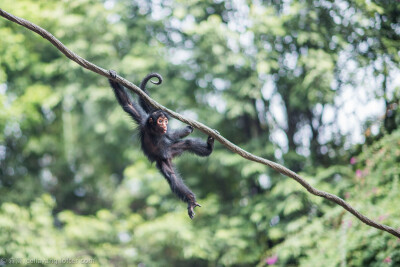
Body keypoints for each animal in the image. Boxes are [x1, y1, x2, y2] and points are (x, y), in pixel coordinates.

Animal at [108, 70, 214, 219]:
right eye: (160, 121)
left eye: (165, 121)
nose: (164, 125)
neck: (153, 131)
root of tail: (167, 155)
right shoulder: (143, 122)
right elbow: (128, 104)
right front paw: (113, 77)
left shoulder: (160, 132)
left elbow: (170, 135)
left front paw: (187, 130)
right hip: (162, 160)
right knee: (171, 176)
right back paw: (190, 200)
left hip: (171, 149)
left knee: (188, 144)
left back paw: (209, 148)